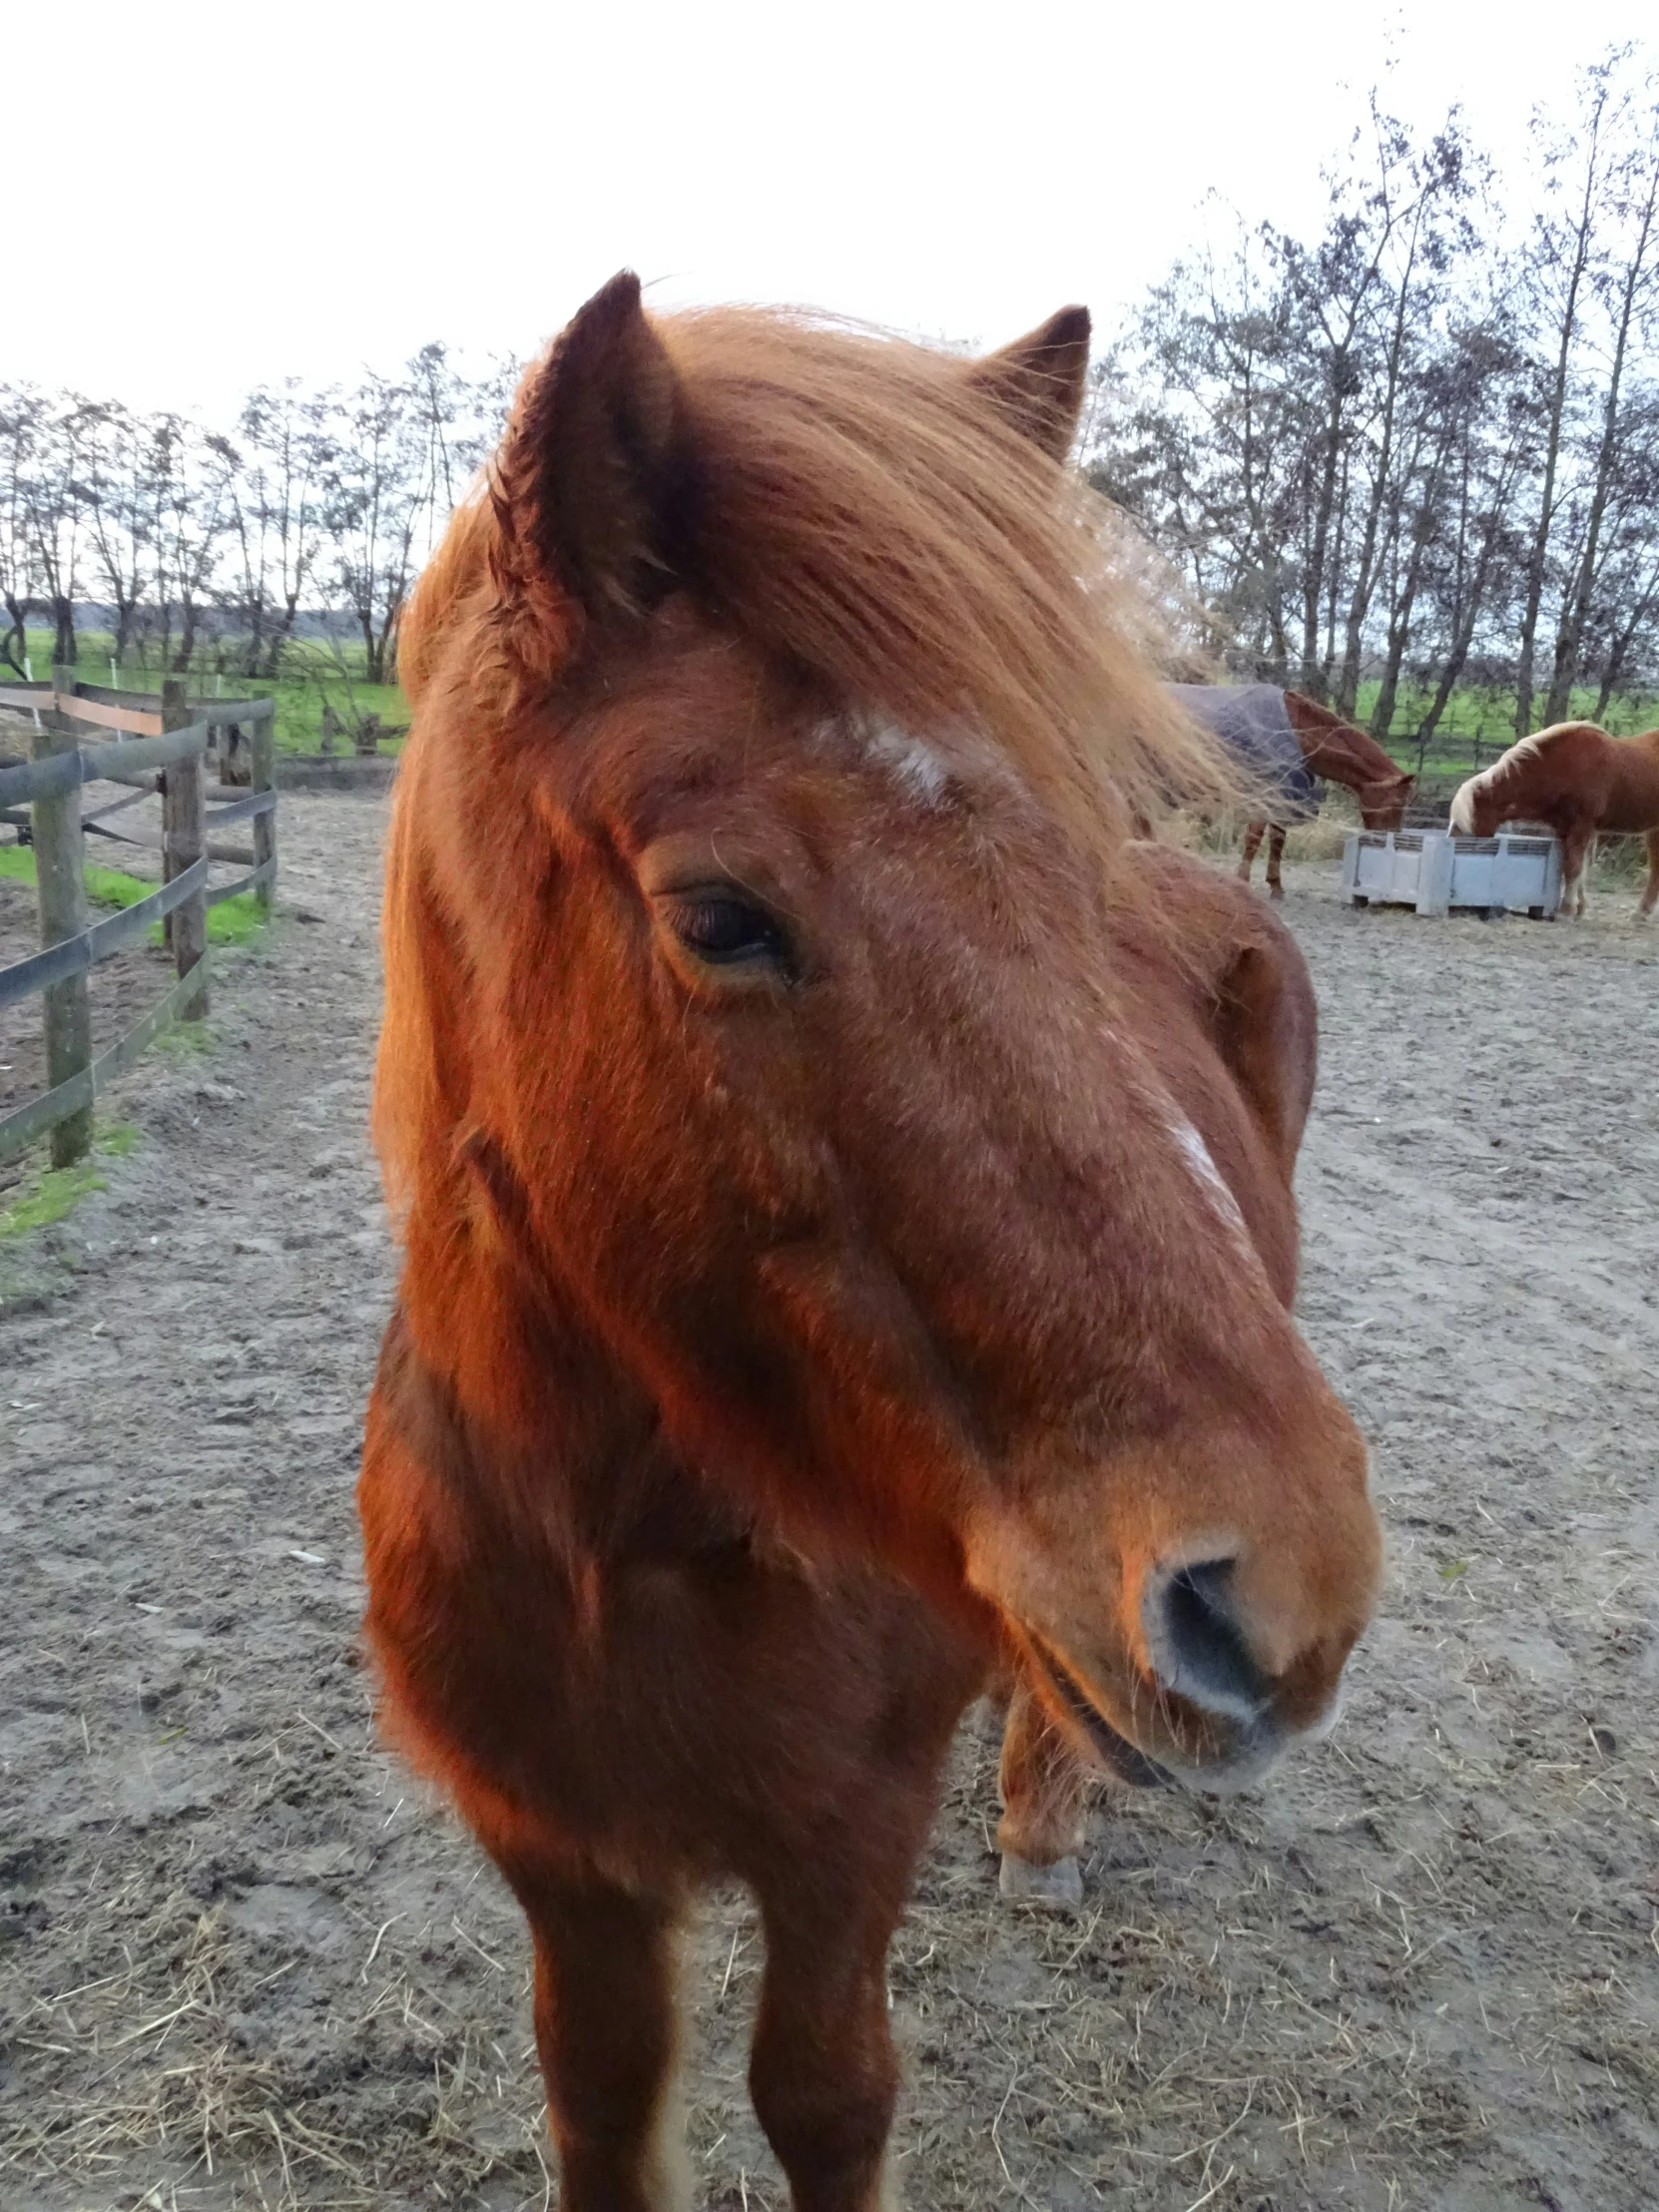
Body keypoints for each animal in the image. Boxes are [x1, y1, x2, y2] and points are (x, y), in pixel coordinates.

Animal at [362, 276, 1388, 2212]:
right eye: (716, 915)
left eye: (1071, 880)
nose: (1286, 1596)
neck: (623, 1543)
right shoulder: (562, 1867)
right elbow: (597, 2107)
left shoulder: (847, 1842)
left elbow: (829, 2097)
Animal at [1238, 690, 1424, 897]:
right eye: (1398, 802)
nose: (1388, 837)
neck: (1295, 731)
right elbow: (1254, 837)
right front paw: (1242, 882)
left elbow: (1278, 838)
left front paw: (1275, 885)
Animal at [1450, 721, 1659, 919]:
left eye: (1466, 823)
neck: (1562, 765)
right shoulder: (1564, 828)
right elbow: (1576, 867)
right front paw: (1579, 909)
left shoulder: (1581, 826)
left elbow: (1574, 867)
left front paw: (1566, 910)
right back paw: (1642, 913)